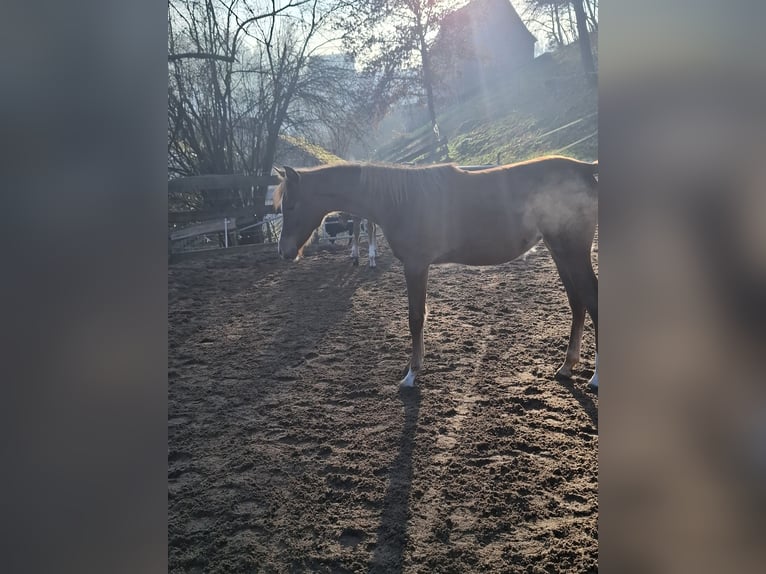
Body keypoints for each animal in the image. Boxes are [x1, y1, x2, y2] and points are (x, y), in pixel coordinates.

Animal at [274, 156, 598, 388]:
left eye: (289, 205)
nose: (284, 251)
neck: (399, 200)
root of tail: (585, 168)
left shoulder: (416, 265)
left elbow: (416, 318)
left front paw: (411, 374)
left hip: (573, 252)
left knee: (592, 300)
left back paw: (594, 377)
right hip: (560, 252)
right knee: (577, 303)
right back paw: (567, 366)